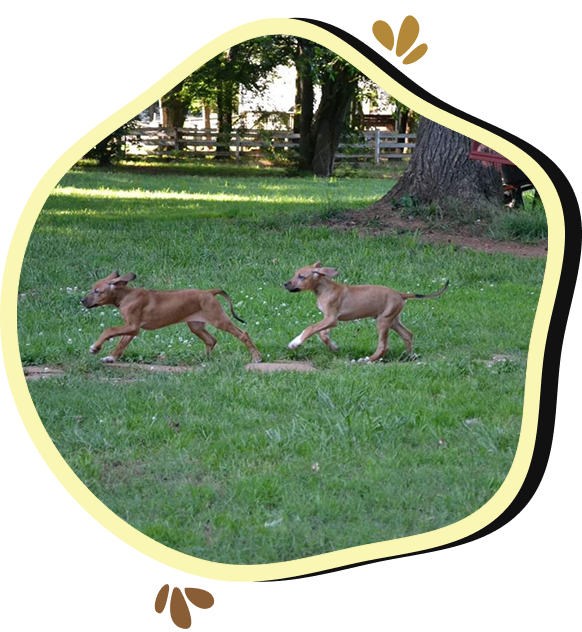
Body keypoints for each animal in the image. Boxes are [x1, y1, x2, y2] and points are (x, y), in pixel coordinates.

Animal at [81, 272, 264, 366]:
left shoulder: (133, 326)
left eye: (97, 291)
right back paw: (203, 360)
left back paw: (256, 358)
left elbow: (109, 330)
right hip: (196, 326)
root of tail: (209, 292)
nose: (82, 301)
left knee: (243, 334)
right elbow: (121, 344)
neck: (126, 296)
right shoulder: (131, 329)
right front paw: (111, 357)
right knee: (211, 340)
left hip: (219, 320)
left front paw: (95, 348)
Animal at [286, 260, 450, 360]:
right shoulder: (328, 319)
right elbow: (323, 335)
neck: (323, 287)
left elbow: (311, 328)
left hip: (383, 321)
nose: (285, 284)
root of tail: (400, 294)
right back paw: (409, 357)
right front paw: (333, 347)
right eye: (295, 274)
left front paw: (295, 343)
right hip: (392, 319)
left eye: (301, 276)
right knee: (407, 334)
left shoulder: (331, 318)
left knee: (384, 346)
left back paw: (367, 360)